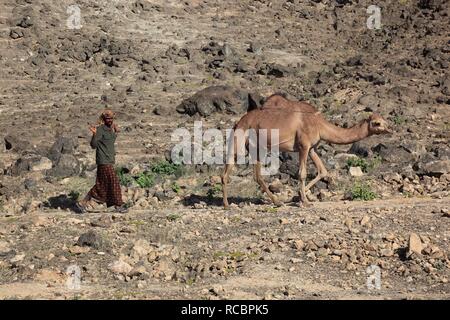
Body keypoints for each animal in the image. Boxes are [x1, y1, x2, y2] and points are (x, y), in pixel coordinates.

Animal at [221, 94, 390, 209]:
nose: (389, 129)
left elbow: (323, 171)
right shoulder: (303, 145)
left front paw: (299, 197)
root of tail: (238, 122)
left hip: (256, 147)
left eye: (384, 120)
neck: (320, 124)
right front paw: (305, 201)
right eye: (377, 123)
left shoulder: (312, 148)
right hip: (242, 141)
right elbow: (301, 173)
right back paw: (228, 204)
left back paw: (275, 201)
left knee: (253, 175)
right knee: (231, 169)